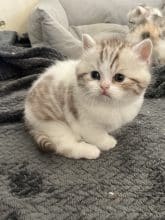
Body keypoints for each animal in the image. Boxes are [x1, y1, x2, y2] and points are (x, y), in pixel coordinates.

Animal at [24, 33, 152, 159]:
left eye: (119, 77)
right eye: (95, 75)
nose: (104, 86)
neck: (110, 105)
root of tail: (27, 115)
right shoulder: (84, 121)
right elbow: (96, 135)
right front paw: (106, 142)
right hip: (53, 123)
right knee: (64, 146)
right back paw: (89, 150)